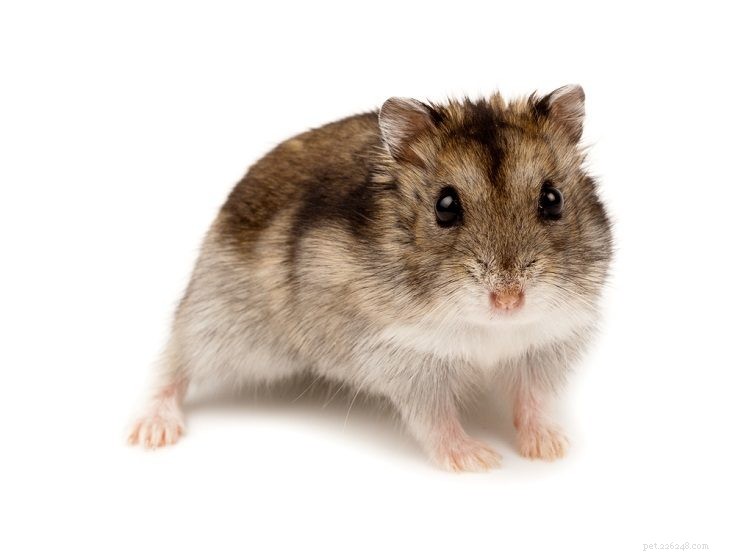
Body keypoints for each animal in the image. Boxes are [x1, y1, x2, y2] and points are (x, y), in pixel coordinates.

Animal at [128, 85, 613, 472]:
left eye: (552, 199)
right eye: (445, 206)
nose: (509, 300)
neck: (489, 330)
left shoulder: (542, 347)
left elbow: (533, 401)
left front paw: (551, 449)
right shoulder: (408, 358)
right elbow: (435, 418)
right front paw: (478, 461)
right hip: (224, 323)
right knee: (173, 360)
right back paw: (149, 433)